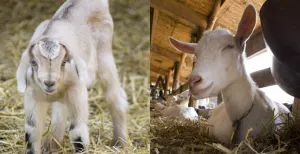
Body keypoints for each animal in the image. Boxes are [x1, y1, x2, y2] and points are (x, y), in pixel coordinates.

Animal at [15, 0, 127, 152]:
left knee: (115, 98)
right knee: (59, 114)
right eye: (33, 63)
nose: (49, 83)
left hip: (104, 55)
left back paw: (119, 142)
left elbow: (77, 132)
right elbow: (32, 133)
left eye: (64, 61)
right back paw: (51, 145)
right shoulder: (32, 95)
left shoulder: (78, 93)